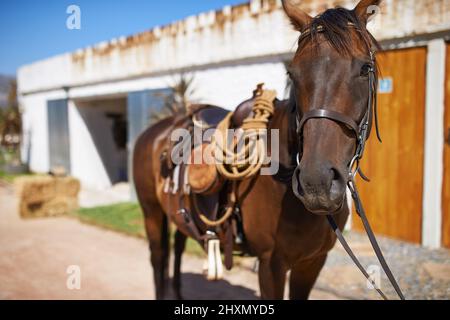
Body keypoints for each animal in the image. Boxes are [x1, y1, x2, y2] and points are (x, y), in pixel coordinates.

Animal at [134, 0, 384, 300]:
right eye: (292, 73)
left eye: (364, 68)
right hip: (151, 213)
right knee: (158, 257)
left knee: (178, 247)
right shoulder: (270, 265)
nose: (317, 182)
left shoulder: (312, 264)